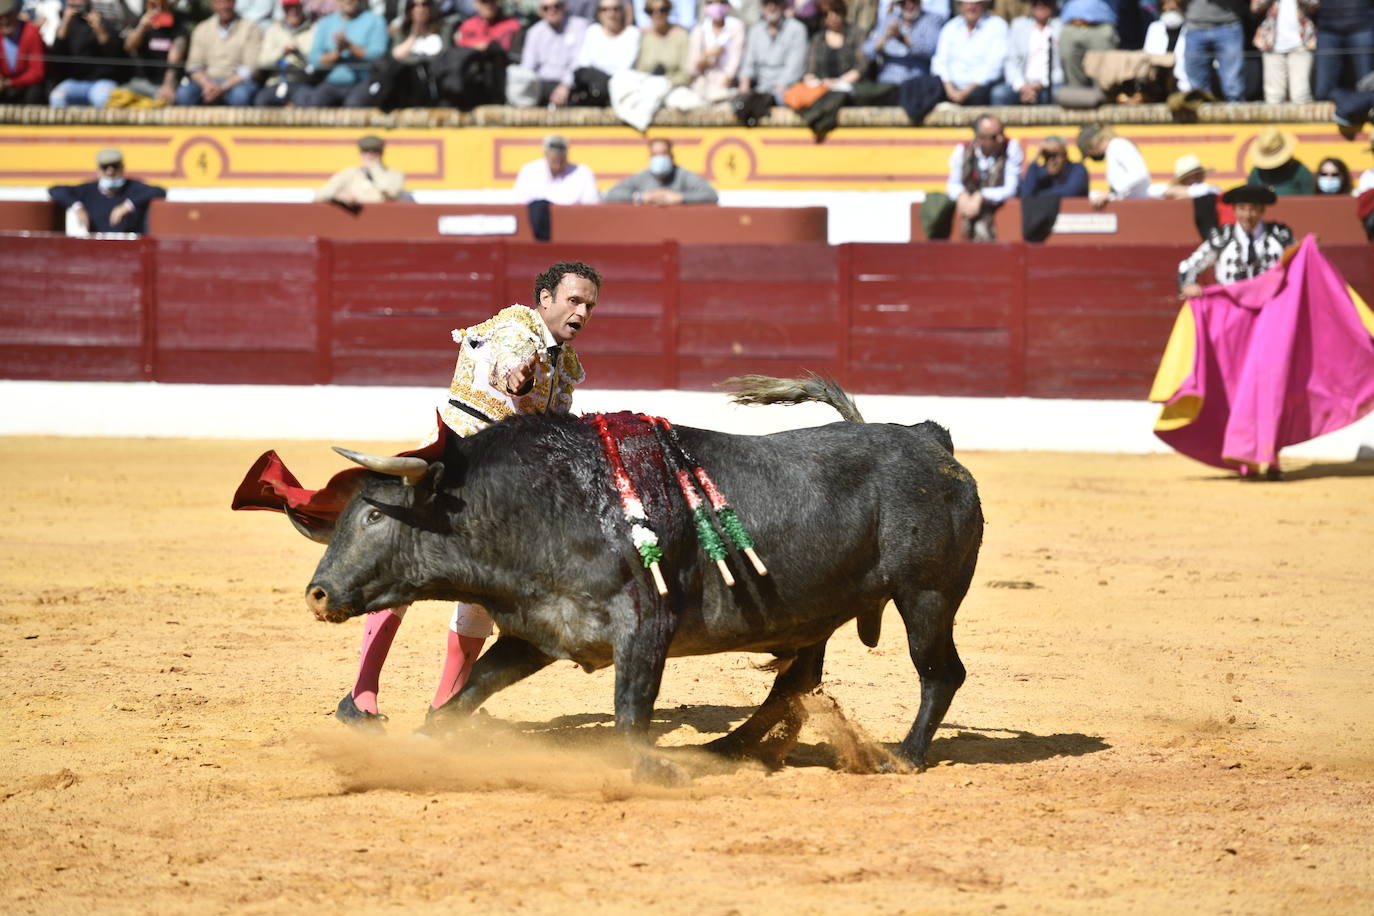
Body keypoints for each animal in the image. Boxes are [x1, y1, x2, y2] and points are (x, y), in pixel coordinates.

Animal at [289, 376, 983, 785]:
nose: (317, 594)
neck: (541, 505)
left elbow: (630, 710)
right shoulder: (541, 630)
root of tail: (930, 441)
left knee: (939, 672)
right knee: (797, 680)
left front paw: (652, 773)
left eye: (374, 515)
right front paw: (418, 745)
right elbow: (469, 691)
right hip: (817, 612)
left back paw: (904, 756)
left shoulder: (646, 626)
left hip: (925, 597)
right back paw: (727, 749)